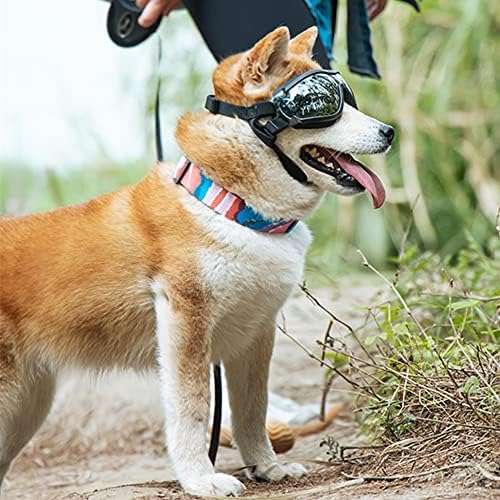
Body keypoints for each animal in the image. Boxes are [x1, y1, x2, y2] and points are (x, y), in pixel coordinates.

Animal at [0, 25, 392, 494]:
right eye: (321, 105)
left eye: (346, 98)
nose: (389, 131)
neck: (233, 209)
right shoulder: (186, 323)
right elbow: (193, 408)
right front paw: (200, 479)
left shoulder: (254, 333)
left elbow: (252, 411)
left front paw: (267, 466)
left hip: (26, 408)